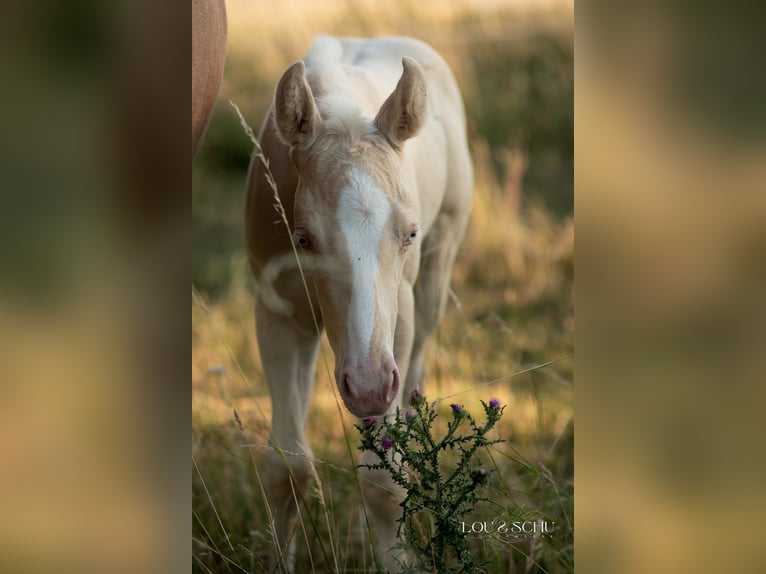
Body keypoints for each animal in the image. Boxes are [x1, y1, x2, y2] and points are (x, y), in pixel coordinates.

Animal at [244, 35, 473, 571]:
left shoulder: (396, 325)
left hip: (439, 264)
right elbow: (287, 468)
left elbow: (383, 482)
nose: (367, 387)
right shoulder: (278, 315)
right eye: (303, 239)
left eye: (409, 233)